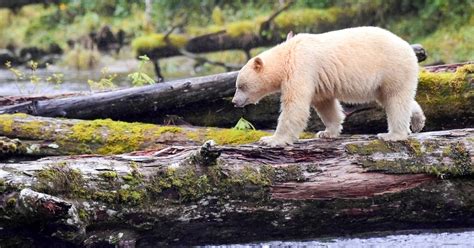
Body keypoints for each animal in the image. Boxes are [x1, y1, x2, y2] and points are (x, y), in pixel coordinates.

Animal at [232, 26, 426, 146]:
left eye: (241, 86)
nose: (234, 102)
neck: (287, 54)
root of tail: (408, 47)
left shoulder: (301, 68)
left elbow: (295, 106)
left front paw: (271, 139)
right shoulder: (317, 79)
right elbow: (325, 103)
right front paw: (327, 132)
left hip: (393, 68)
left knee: (395, 99)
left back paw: (393, 135)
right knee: (393, 98)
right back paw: (417, 121)